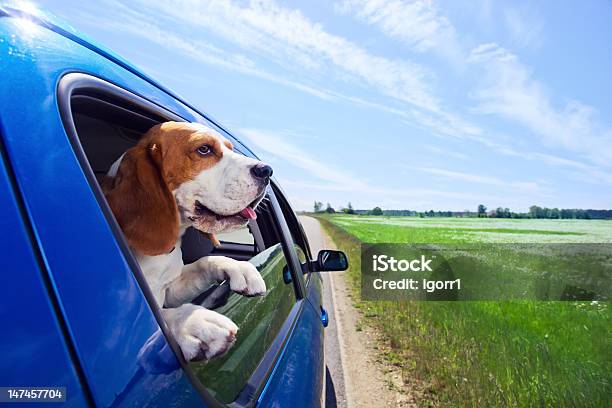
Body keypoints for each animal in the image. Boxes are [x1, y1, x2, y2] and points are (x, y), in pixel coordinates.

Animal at [103, 121, 270, 360]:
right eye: (204, 149)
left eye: (230, 148)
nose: (267, 171)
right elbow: (162, 317)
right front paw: (192, 322)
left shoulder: (171, 289)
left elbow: (204, 262)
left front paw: (239, 267)